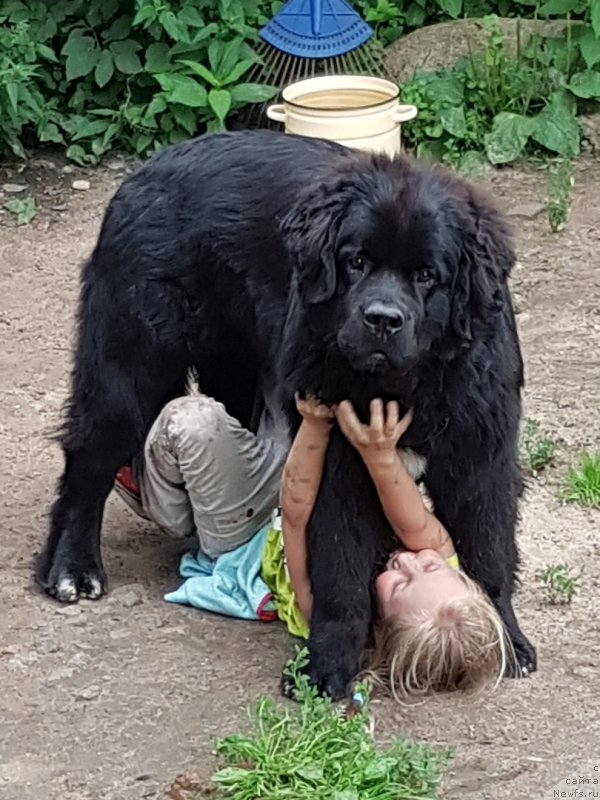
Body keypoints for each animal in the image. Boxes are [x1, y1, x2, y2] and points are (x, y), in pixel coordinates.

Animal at [36, 128, 536, 696]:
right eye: (356, 261)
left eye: (428, 275)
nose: (382, 319)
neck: (406, 386)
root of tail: (143, 172)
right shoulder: (339, 465)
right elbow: (341, 568)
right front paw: (327, 665)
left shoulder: (479, 452)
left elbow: (487, 548)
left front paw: (503, 635)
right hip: (130, 364)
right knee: (89, 461)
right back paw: (72, 569)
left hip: (229, 367)